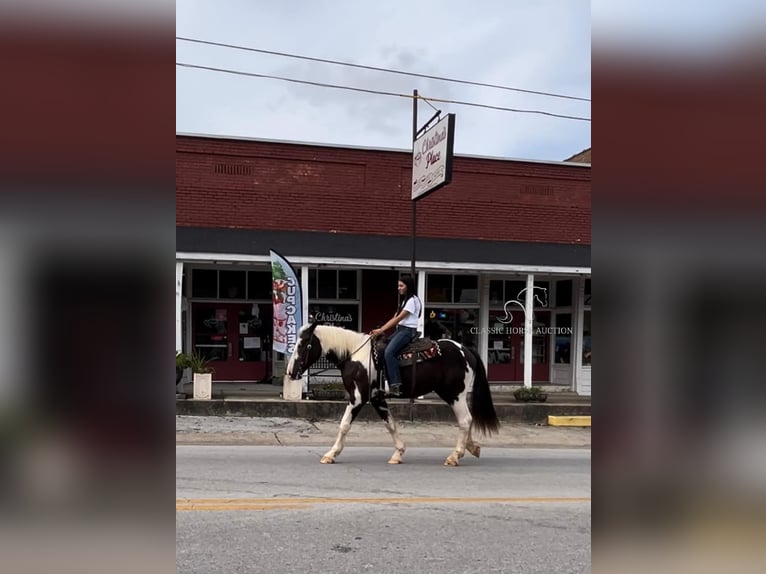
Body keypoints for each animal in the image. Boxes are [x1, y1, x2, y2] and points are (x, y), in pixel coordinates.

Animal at [284, 324, 500, 468]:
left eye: (303, 345)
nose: (291, 372)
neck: (355, 356)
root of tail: (466, 349)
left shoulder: (358, 397)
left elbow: (344, 425)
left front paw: (331, 454)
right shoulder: (377, 398)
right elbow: (391, 424)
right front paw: (398, 453)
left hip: (455, 394)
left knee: (465, 420)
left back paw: (455, 456)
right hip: (452, 394)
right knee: (468, 420)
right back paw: (472, 447)